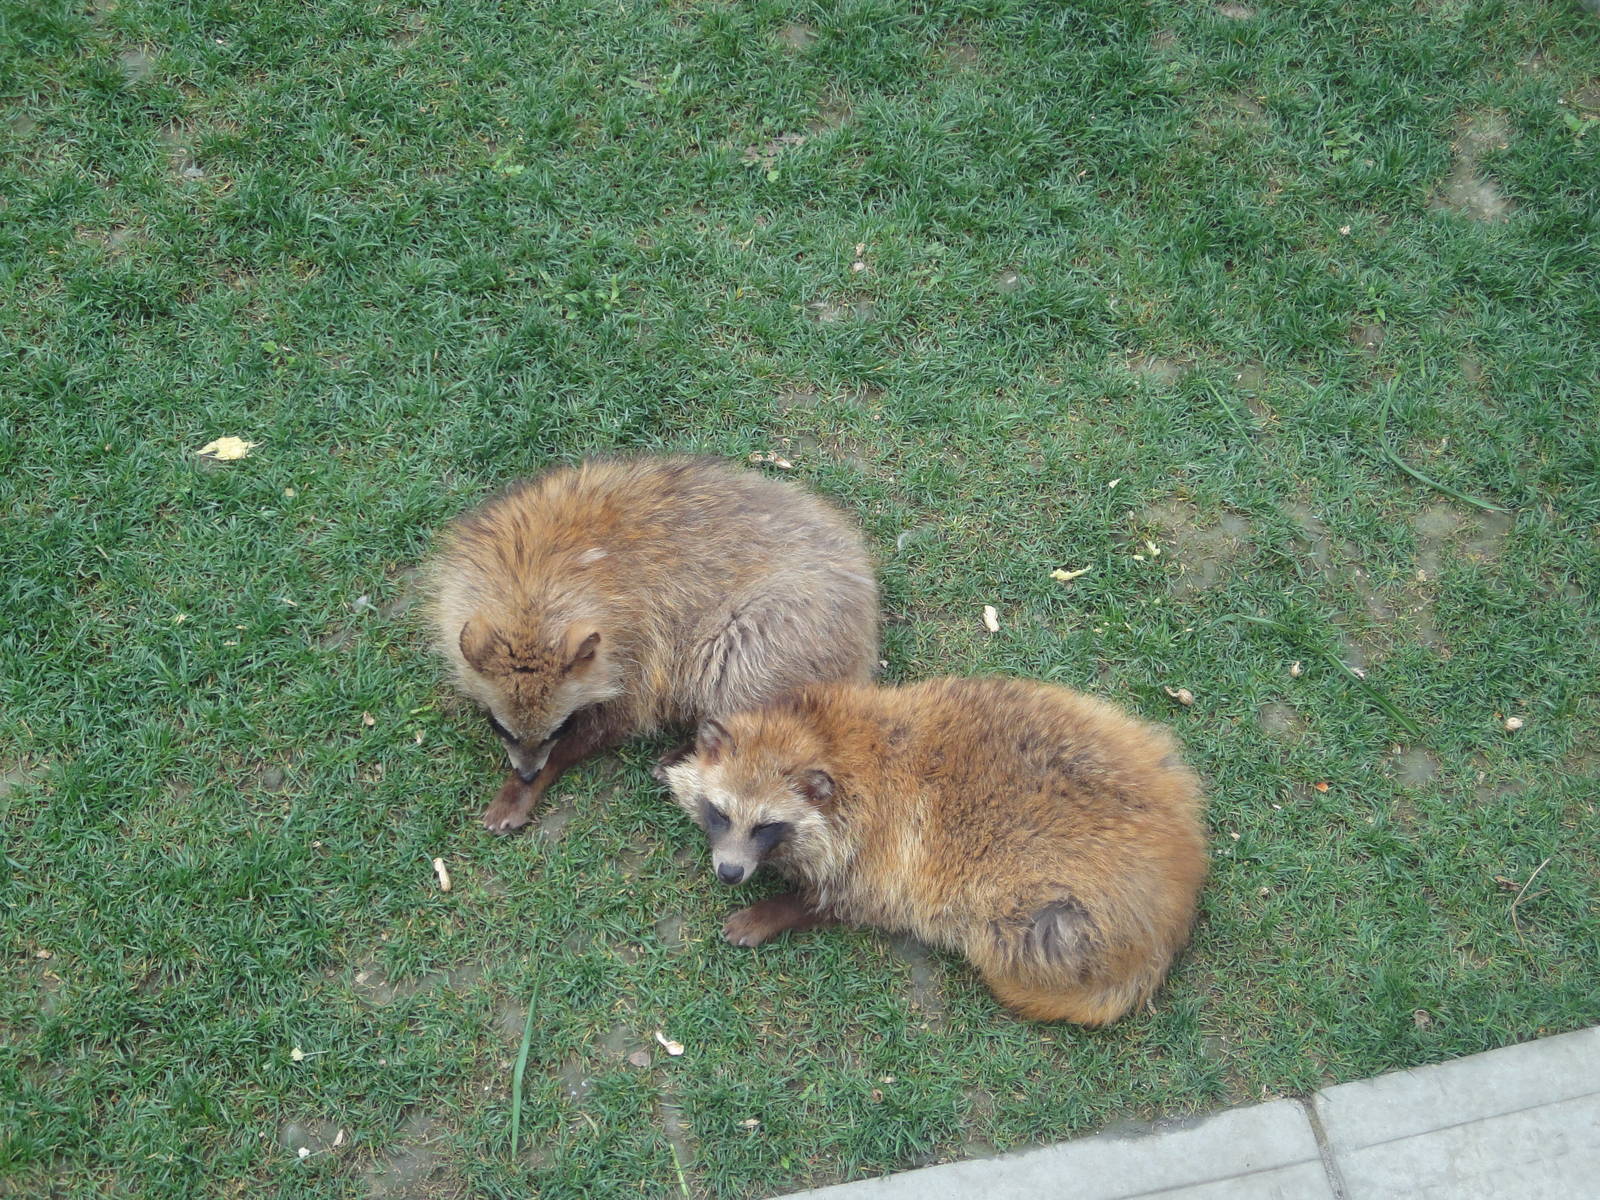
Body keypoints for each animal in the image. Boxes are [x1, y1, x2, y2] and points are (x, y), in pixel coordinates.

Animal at [425, 455, 879, 833]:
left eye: (562, 726)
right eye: (497, 725)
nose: (527, 774)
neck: (533, 587)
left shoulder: (639, 645)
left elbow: (617, 718)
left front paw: (532, 781)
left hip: (780, 626)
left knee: (735, 672)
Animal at [658, 678, 1208, 1025]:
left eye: (766, 826)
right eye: (720, 813)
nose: (730, 872)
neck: (826, 738)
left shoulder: (885, 847)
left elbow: (852, 899)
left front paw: (777, 911)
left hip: (1047, 909)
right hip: (1126, 737)